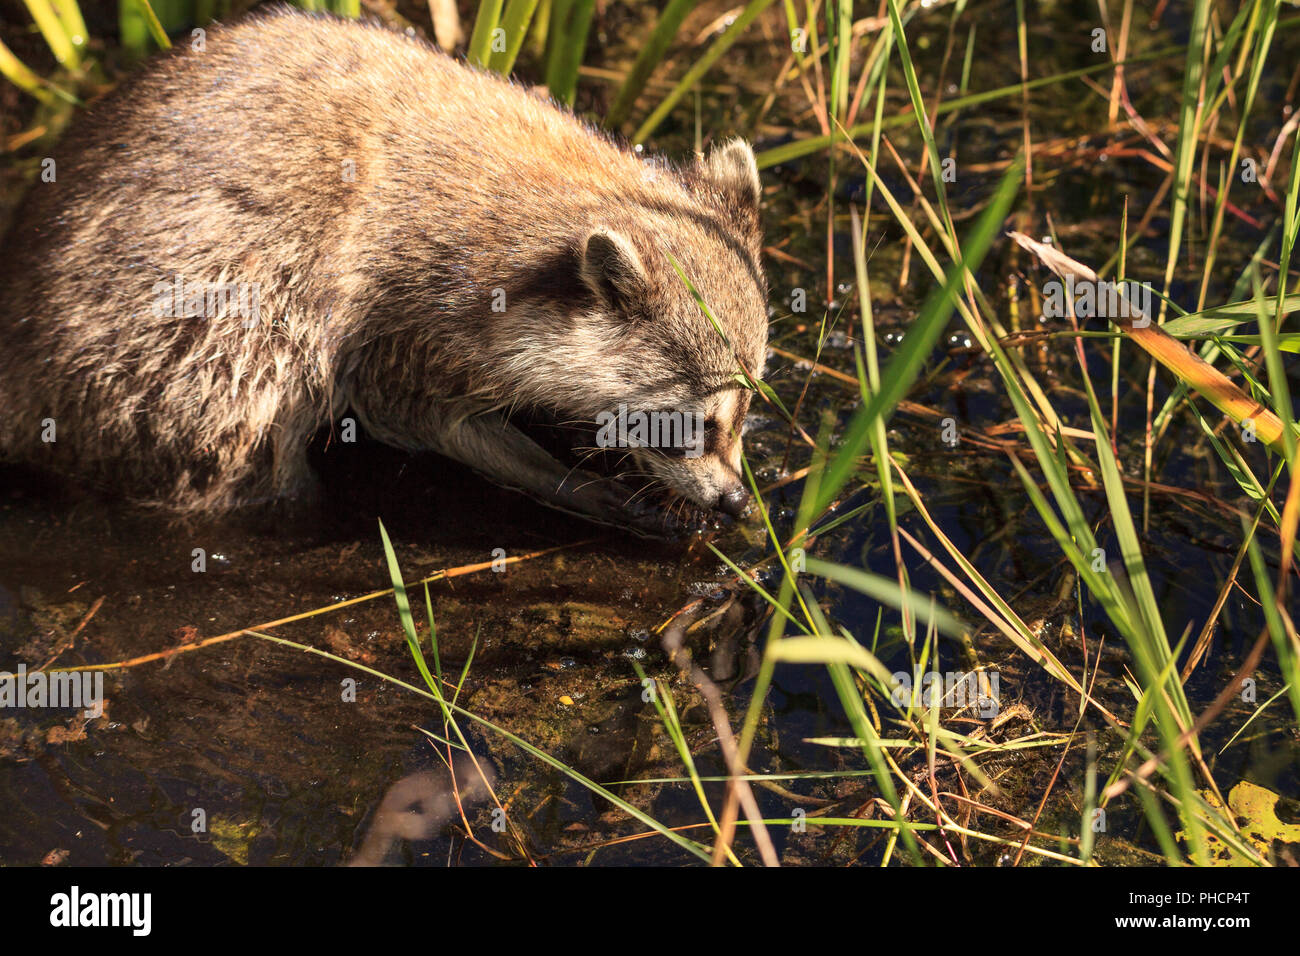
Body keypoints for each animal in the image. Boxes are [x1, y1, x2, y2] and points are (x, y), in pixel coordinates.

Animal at [0, 7, 764, 535]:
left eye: (747, 409)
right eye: (695, 426)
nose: (738, 502)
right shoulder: (406, 311)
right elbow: (424, 416)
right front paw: (573, 484)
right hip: (166, 329)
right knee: (244, 391)